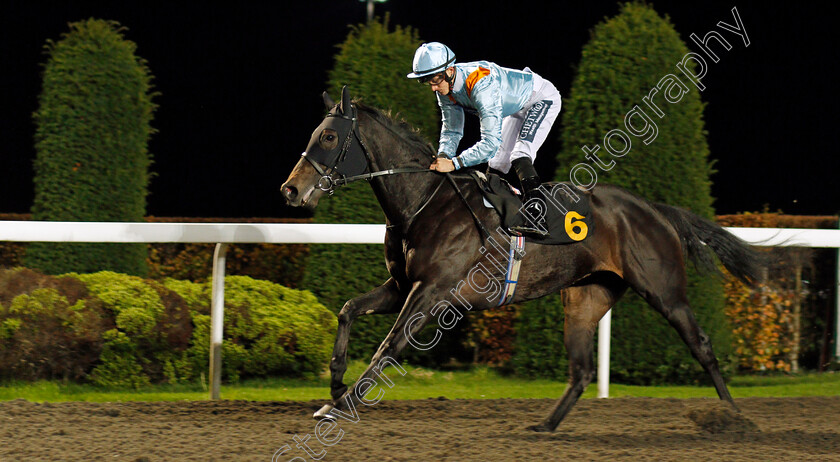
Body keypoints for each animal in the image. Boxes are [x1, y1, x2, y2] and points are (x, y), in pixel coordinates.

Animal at [280, 86, 760, 434]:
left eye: (328, 137)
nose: (290, 190)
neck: (423, 202)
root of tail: (655, 210)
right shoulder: (400, 287)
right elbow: (347, 310)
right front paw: (334, 385)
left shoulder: (432, 292)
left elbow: (388, 347)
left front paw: (343, 404)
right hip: (586, 297)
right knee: (582, 370)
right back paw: (545, 425)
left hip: (664, 290)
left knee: (702, 345)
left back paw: (735, 419)